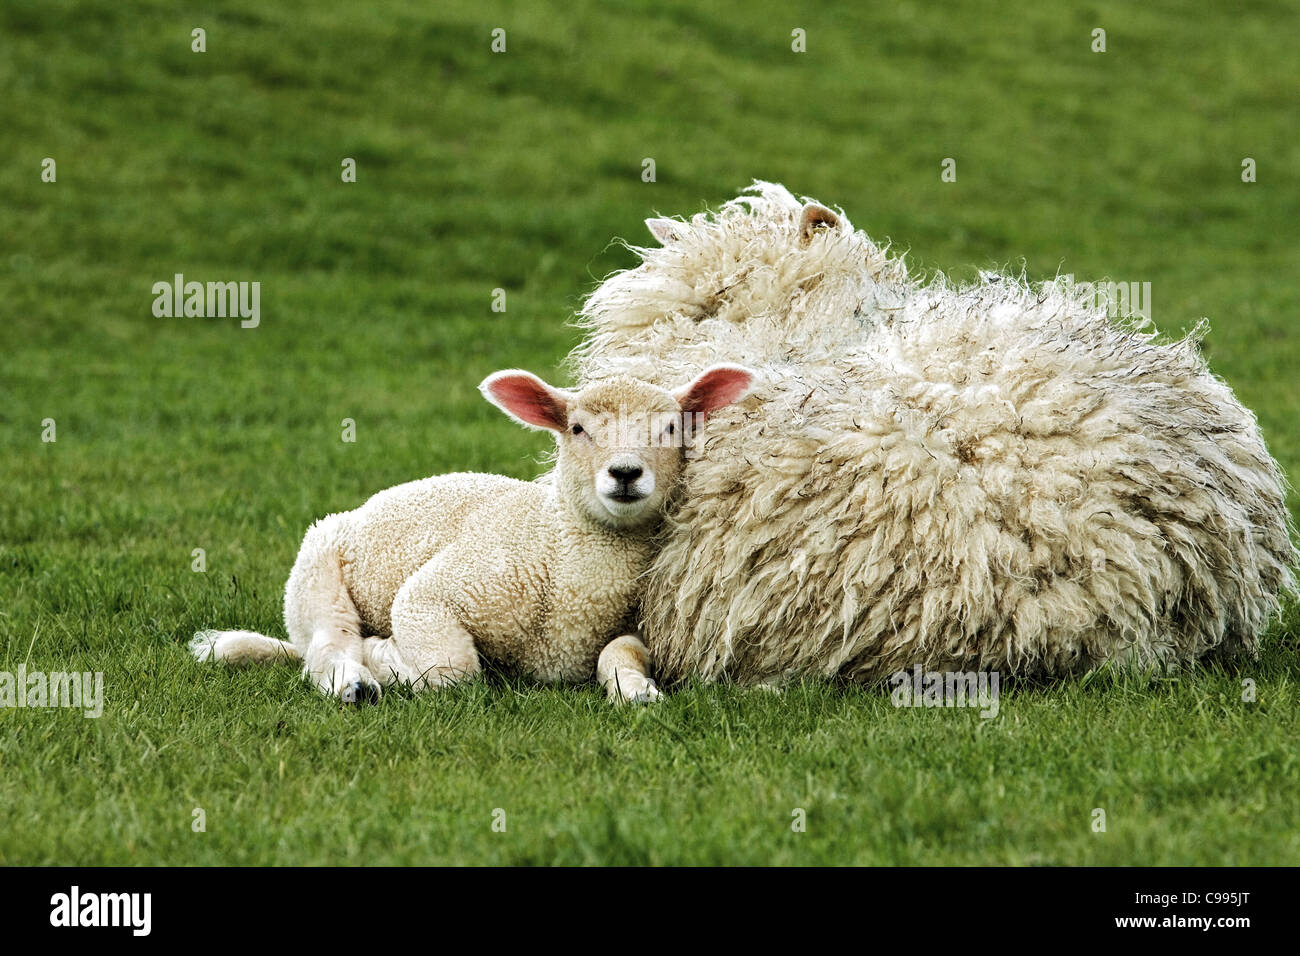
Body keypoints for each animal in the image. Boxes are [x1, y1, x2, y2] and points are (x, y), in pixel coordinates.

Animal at [190, 364, 757, 703]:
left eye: (672, 428)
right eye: (576, 429)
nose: (624, 473)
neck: (556, 546)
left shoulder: (638, 629)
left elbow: (617, 653)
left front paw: (637, 691)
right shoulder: (439, 594)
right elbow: (453, 671)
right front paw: (386, 656)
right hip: (315, 573)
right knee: (326, 647)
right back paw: (355, 680)